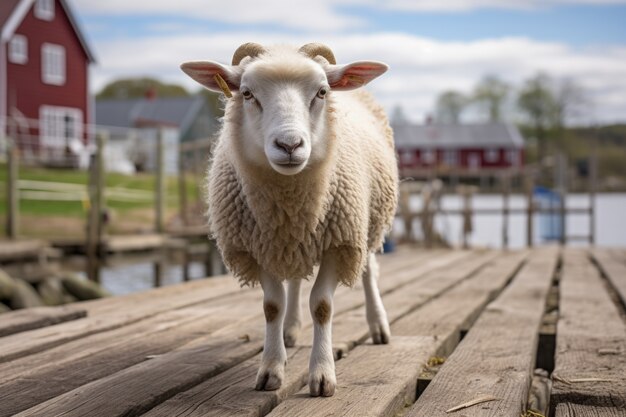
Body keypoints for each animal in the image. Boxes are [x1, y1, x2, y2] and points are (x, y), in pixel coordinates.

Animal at [180, 43, 394, 396]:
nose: (289, 145)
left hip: (367, 225)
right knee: (294, 280)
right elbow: (273, 306)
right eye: (247, 93)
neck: (288, 207)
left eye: (321, 92)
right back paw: (290, 330)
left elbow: (322, 306)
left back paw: (378, 325)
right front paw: (270, 369)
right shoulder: (259, 245)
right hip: (296, 245)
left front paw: (322, 374)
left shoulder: (339, 241)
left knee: (368, 270)